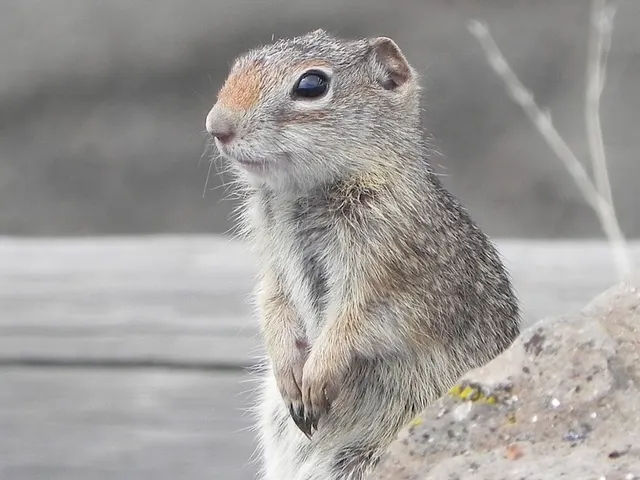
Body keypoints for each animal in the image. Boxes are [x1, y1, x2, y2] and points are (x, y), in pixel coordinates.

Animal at [205, 29, 521, 480]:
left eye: (311, 85)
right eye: (239, 66)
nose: (217, 127)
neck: (304, 193)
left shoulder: (389, 278)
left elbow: (352, 325)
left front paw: (315, 377)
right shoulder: (272, 270)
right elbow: (272, 305)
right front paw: (289, 372)